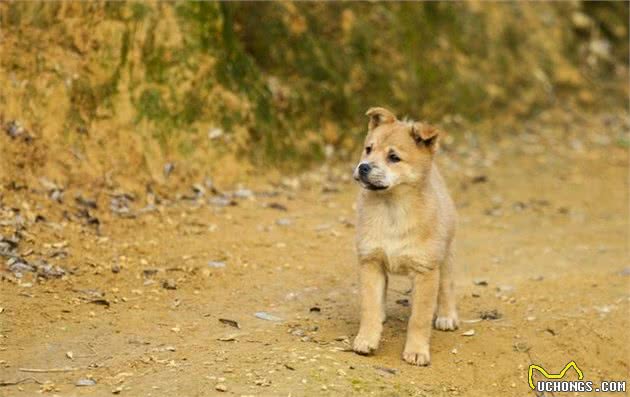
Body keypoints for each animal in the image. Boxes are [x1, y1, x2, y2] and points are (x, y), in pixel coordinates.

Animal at [350, 106, 460, 366]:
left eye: (394, 157)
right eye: (368, 149)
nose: (363, 167)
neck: (392, 210)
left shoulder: (425, 271)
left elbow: (419, 319)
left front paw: (417, 350)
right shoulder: (371, 262)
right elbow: (369, 307)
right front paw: (367, 339)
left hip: (446, 257)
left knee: (447, 287)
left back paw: (446, 316)